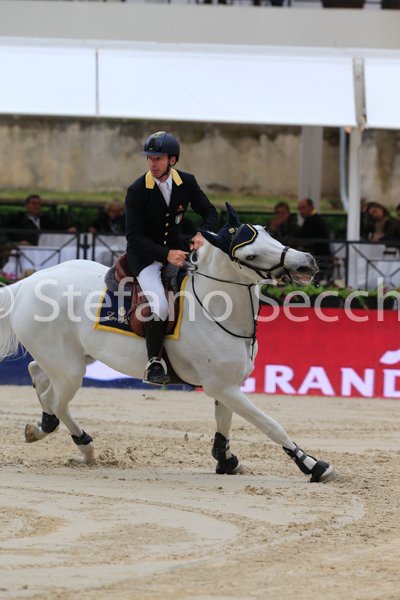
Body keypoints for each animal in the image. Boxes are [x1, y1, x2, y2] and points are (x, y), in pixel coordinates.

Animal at [0, 204, 336, 483]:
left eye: (267, 232)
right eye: (250, 256)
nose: (306, 262)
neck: (215, 307)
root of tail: (27, 283)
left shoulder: (226, 385)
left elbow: (224, 423)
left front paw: (225, 461)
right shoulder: (222, 386)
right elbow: (270, 425)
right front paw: (313, 465)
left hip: (74, 357)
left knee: (38, 375)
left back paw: (42, 426)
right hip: (69, 369)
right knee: (57, 398)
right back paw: (82, 446)